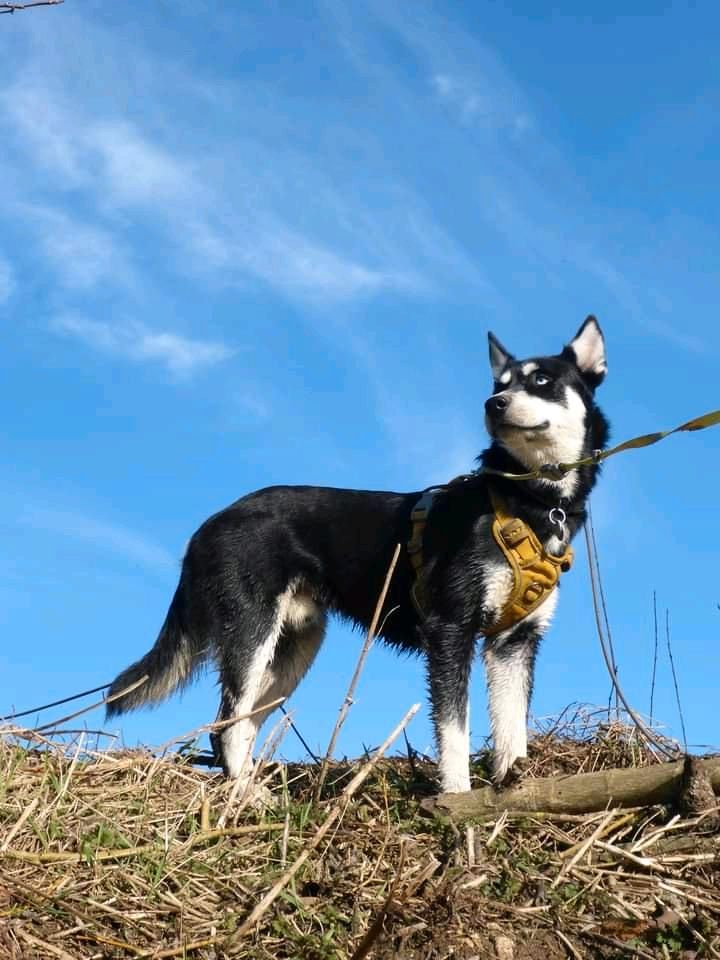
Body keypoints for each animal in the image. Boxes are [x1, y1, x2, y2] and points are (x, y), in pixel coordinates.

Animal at [107, 318, 608, 792]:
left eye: (541, 380)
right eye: (498, 385)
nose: (494, 405)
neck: (525, 499)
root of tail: (208, 525)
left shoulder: (514, 643)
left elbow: (511, 731)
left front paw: (511, 791)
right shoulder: (451, 629)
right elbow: (455, 733)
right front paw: (457, 797)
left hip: (293, 649)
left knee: (242, 726)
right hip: (251, 634)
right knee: (224, 728)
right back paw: (251, 797)